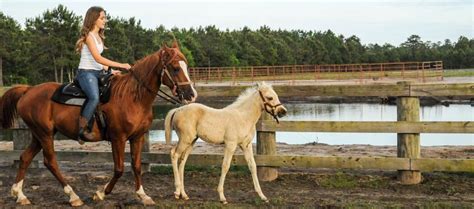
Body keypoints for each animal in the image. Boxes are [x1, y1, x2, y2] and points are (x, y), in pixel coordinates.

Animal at [0, 41, 196, 207]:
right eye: (175, 68)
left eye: (186, 66)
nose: (191, 94)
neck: (132, 97)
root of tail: (28, 90)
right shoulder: (118, 138)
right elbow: (119, 169)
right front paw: (100, 193)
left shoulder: (137, 137)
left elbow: (137, 166)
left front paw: (143, 195)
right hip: (45, 134)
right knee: (50, 162)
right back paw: (73, 196)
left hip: (38, 134)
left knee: (25, 157)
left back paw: (20, 195)